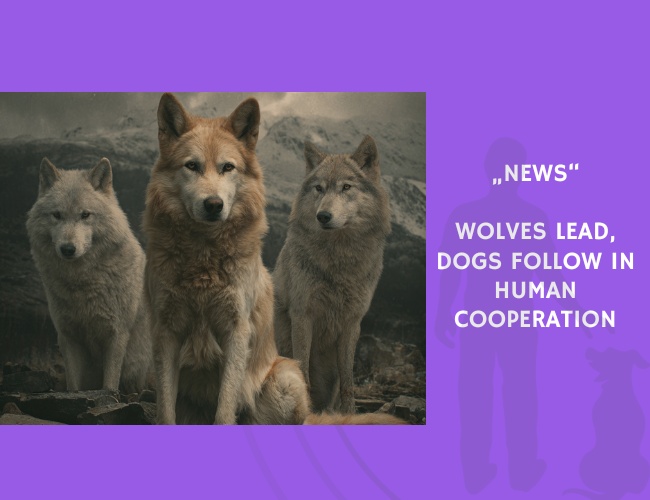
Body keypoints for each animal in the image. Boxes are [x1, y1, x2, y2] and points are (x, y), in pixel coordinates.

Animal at [26, 158, 152, 394]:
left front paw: (108, 396)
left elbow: (110, 383)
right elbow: (73, 386)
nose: (68, 249)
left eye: (85, 215)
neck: (82, 284)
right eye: (57, 215)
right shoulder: (68, 337)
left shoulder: (117, 334)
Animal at [273, 136, 391, 413]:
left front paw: (349, 414)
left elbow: (349, 381)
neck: (338, 263)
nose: (323, 216)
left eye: (346, 187)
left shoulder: (352, 322)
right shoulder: (302, 315)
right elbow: (303, 368)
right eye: (319, 188)